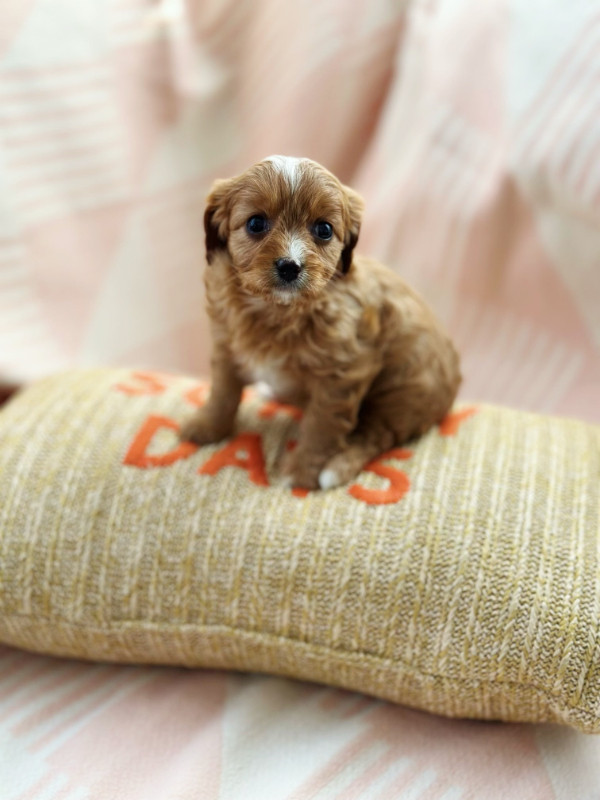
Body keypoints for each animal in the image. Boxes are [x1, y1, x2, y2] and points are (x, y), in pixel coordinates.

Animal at [180, 157, 462, 490]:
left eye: (324, 229)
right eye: (255, 223)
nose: (290, 266)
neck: (276, 309)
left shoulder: (343, 374)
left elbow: (322, 425)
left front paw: (304, 471)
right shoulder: (226, 345)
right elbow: (223, 391)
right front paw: (206, 426)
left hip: (404, 393)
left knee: (376, 435)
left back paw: (336, 468)